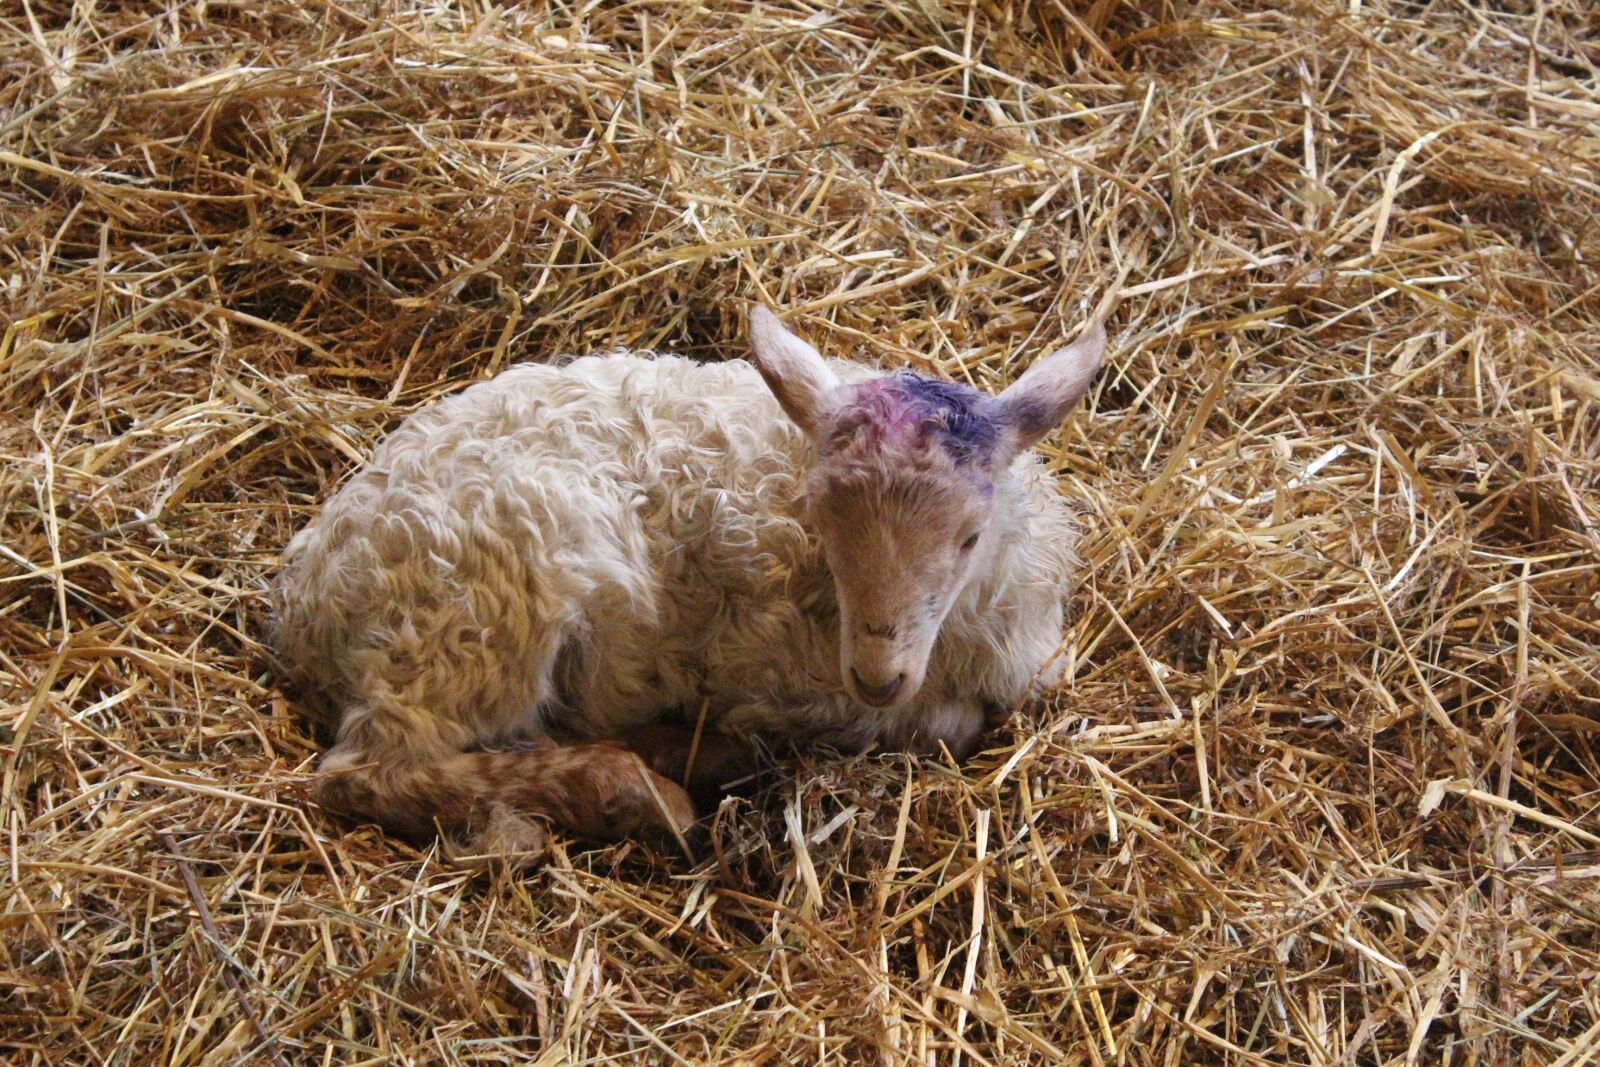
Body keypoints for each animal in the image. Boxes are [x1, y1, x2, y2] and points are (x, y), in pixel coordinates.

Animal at [270, 307, 1106, 859]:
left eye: (968, 536)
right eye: (827, 528)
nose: (877, 674)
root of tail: (307, 601)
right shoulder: (779, 681)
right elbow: (951, 724)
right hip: (475, 612)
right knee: (367, 771)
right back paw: (640, 792)